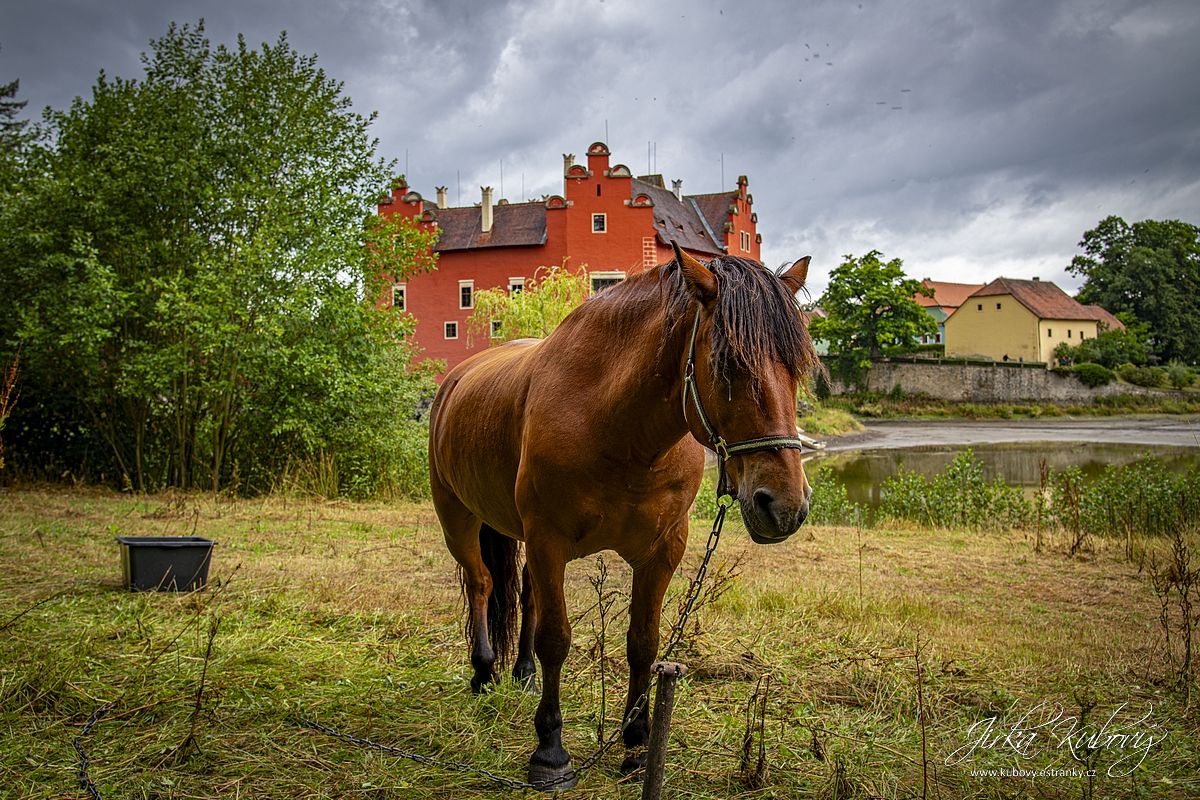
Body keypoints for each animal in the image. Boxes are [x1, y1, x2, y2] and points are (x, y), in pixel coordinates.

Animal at [427, 245, 820, 786]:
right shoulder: (548, 541)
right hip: (458, 516)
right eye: (727, 365)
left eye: (798, 368)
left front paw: (636, 744)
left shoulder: (661, 551)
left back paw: (522, 674)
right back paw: (484, 670)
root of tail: (454, 382)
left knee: (524, 594)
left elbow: (643, 644)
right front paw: (550, 751)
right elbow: (557, 640)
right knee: (481, 583)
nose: (784, 505)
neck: (616, 429)